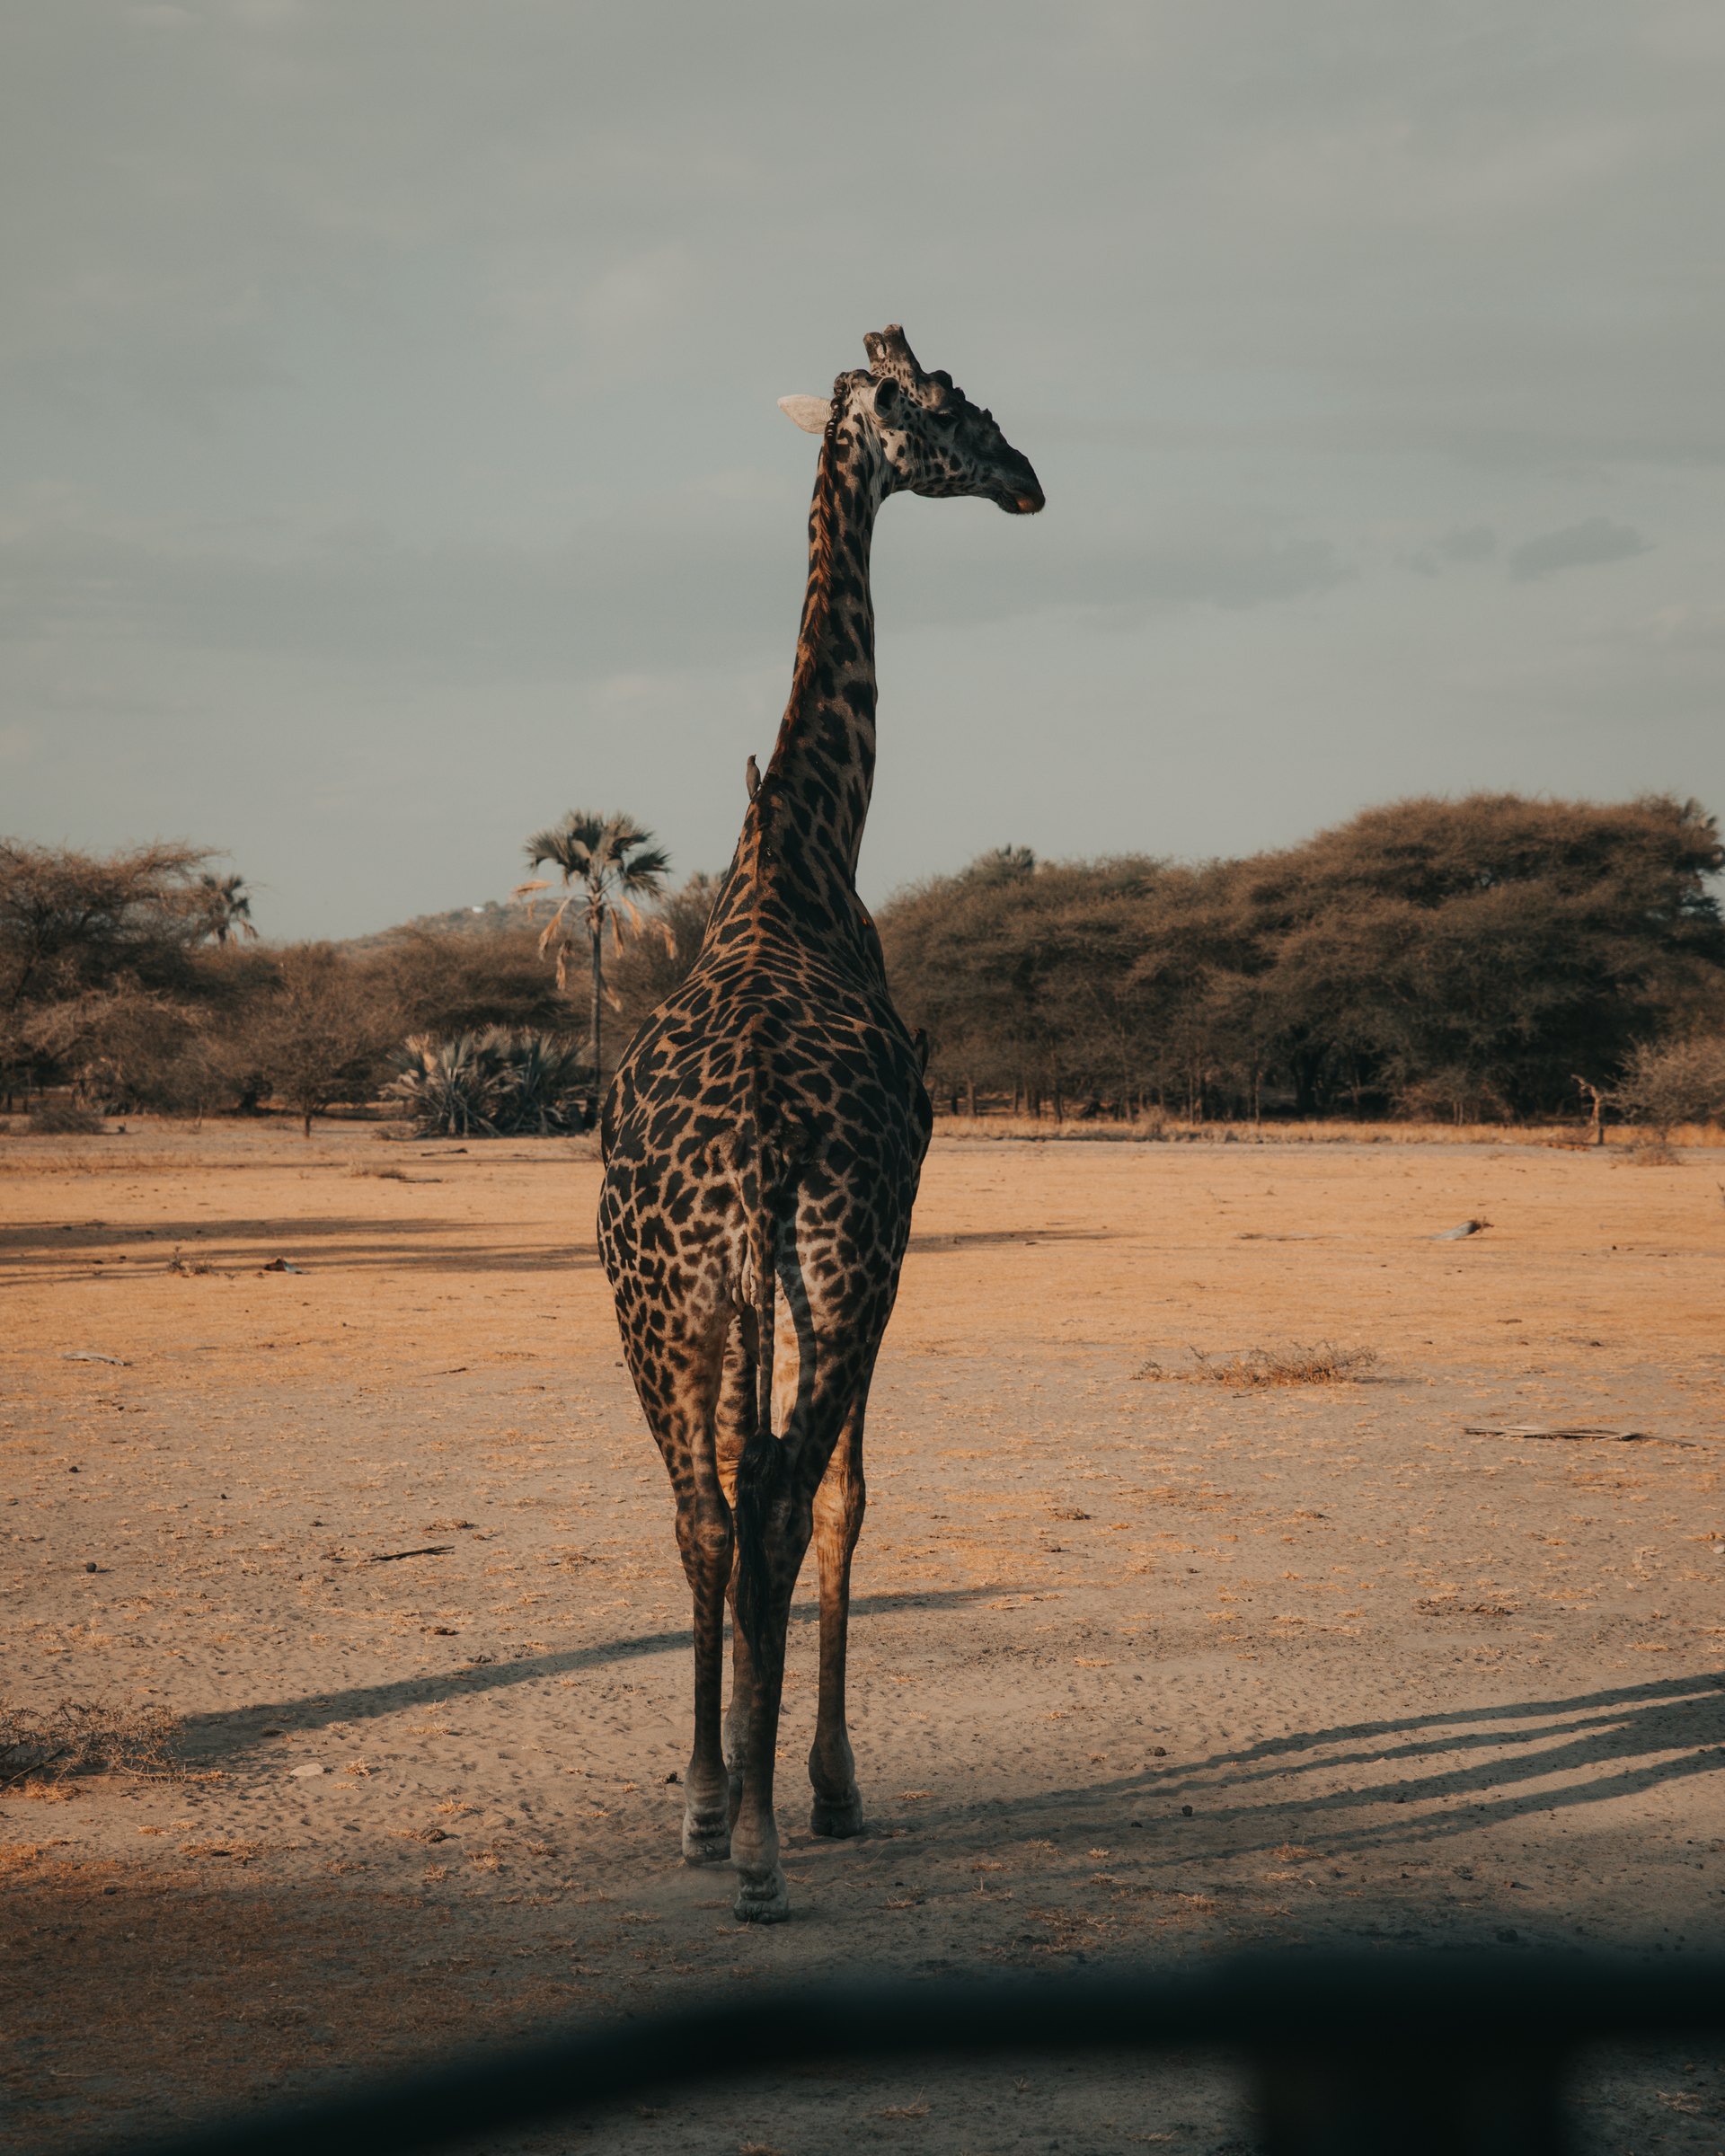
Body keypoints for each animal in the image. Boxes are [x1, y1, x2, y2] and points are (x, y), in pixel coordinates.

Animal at [597, 325, 1043, 1922]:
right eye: (954, 409)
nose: (1030, 478)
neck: (800, 844)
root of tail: (755, 1143)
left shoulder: (731, 1295)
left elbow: (732, 1500)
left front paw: (722, 1782)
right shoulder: (889, 1252)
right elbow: (853, 1492)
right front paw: (834, 1787)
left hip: (657, 1298)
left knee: (705, 1508)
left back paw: (707, 1812)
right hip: (840, 1268)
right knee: (789, 1497)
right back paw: (773, 1849)